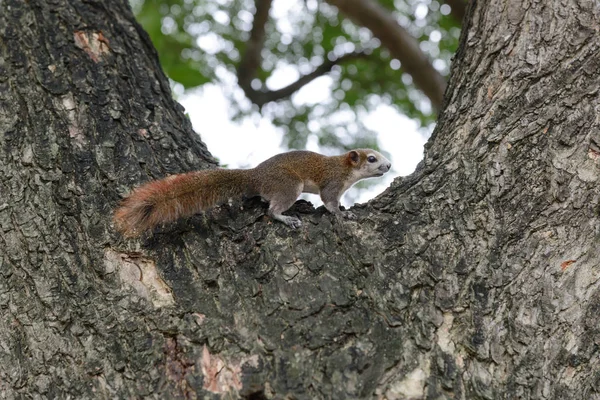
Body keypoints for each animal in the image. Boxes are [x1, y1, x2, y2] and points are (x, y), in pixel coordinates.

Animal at [114, 150, 392, 238]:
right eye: (371, 158)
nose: (389, 166)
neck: (346, 169)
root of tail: (254, 176)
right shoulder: (332, 183)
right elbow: (330, 202)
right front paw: (343, 215)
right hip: (288, 185)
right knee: (272, 209)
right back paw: (286, 217)